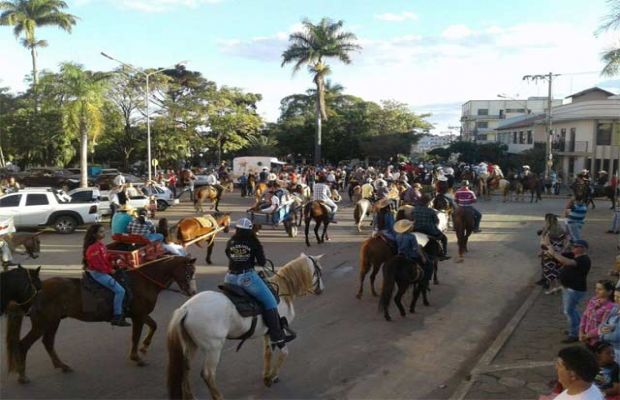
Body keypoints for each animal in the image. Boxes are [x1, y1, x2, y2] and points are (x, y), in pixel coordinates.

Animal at [4, 256, 197, 384]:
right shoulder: (138, 316)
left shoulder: (140, 315)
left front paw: (144, 346)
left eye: (193, 272)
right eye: (188, 272)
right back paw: (22, 375)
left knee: (48, 343)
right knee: (23, 345)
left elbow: (154, 326)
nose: (192, 292)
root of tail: (36, 290)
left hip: (53, 322)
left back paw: (62, 365)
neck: (143, 282)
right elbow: (135, 336)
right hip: (42, 323)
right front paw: (136, 357)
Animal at [167, 253, 326, 400]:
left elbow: (267, 353)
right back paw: (218, 396)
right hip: (213, 348)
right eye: (319, 271)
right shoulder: (278, 331)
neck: (282, 291)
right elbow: (284, 352)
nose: (321, 290)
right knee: (208, 374)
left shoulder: (268, 333)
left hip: (191, 344)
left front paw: (266, 376)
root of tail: (186, 309)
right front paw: (273, 376)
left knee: (185, 370)